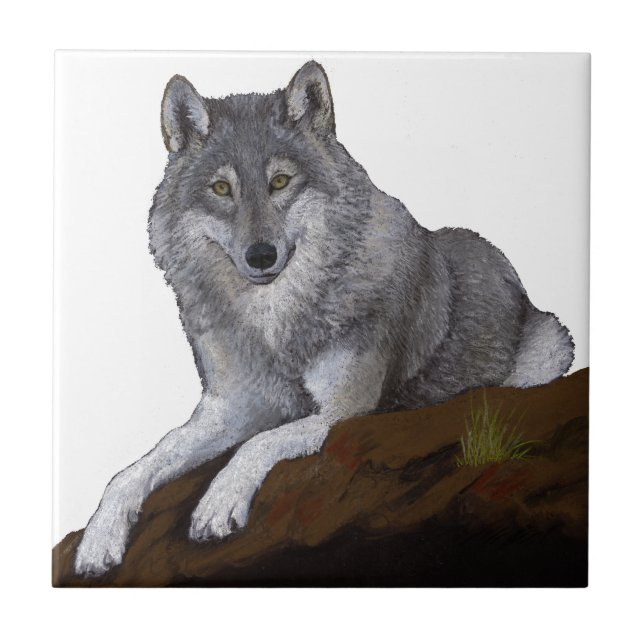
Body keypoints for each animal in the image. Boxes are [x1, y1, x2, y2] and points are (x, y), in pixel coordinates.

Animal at [74, 60, 574, 576]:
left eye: (279, 182)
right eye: (221, 189)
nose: (260, 255)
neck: (276, 325)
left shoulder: (345, 410)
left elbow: (260, 443)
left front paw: (217, 504)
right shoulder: (230, 407)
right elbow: (140, 466)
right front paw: (98, 538)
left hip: (551, 347)